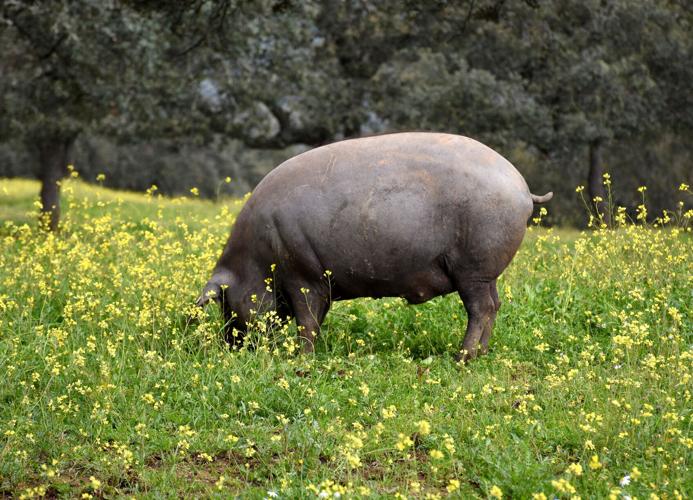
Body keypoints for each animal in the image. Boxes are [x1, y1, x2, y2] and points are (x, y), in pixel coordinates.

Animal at [197, 132, 552, 361]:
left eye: (226, 302)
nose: (229, 346)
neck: (257, 259)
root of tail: (522, 187)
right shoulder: (321, 282)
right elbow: (317, 318)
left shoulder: (302, 274)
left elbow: (306, 321)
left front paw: (302, 359)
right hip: (485, 272)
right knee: (495, 304)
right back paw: (481, 355)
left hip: (474, 266)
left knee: (482, 308)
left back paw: (461, 358)